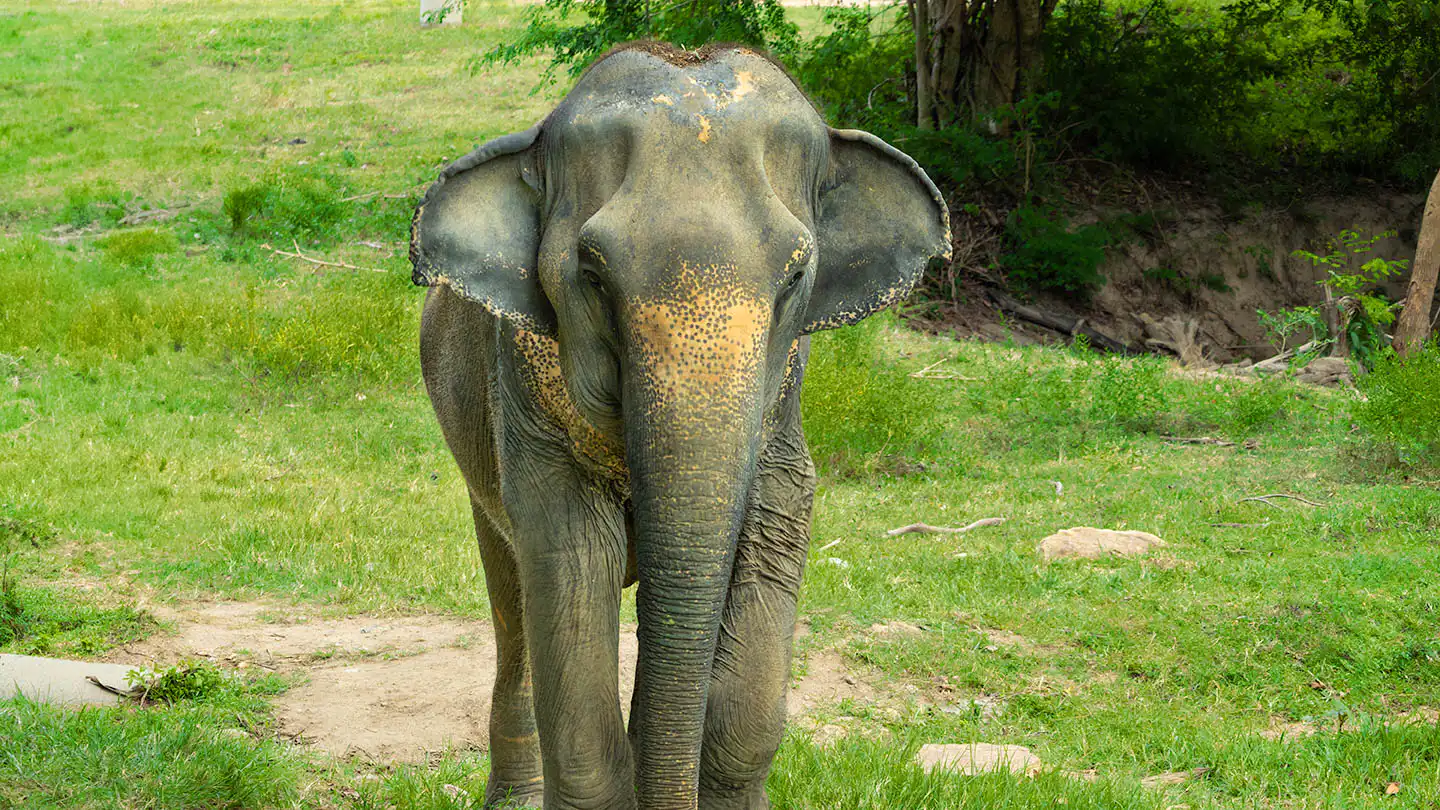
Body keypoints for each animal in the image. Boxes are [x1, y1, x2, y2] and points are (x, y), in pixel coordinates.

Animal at [410, 41, 950, 810]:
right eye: (592, 273)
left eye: (795, 275)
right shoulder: (526, 402)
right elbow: (570, 566)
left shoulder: (780, 411)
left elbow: (773, 535)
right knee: (512, 602)